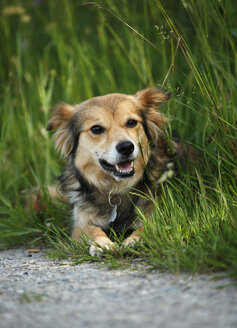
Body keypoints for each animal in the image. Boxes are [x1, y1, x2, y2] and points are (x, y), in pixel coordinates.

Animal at [45, 87, 193, 256]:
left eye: (132, 122)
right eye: (96, 129)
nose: (126, 147)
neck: (116, 189)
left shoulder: (158, 215)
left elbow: (146, 228)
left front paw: (133, 241)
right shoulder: (81, 223)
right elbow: (92, 230)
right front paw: (102, 244)